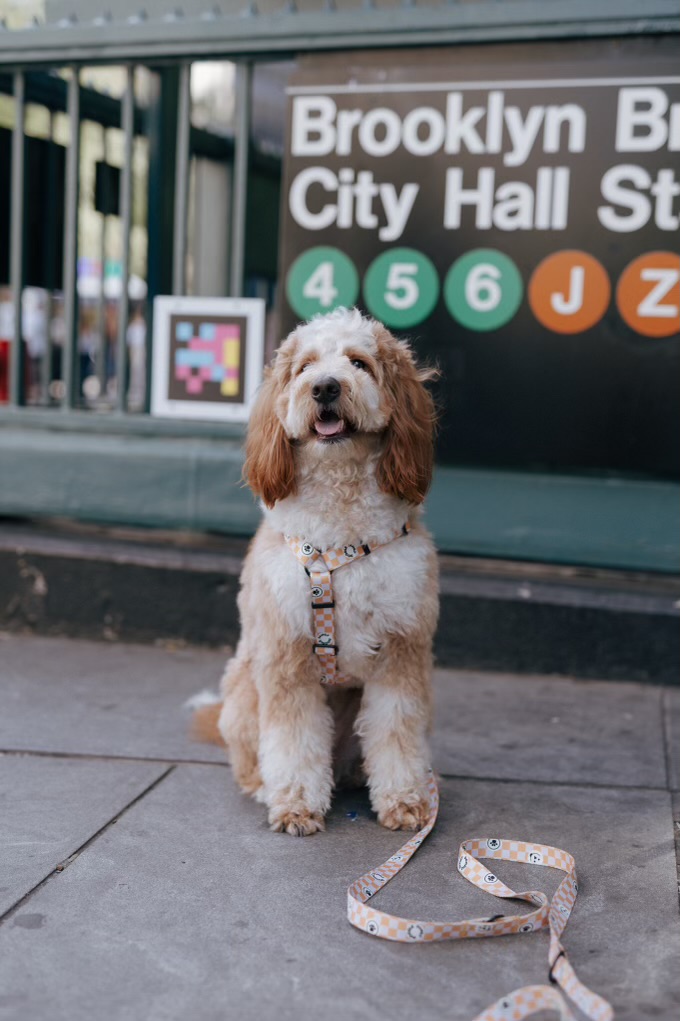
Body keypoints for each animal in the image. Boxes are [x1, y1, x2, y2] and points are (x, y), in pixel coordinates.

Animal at [195, 308, 439, 837]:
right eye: (304, 366)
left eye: (359, 362)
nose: (326, 386)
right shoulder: (286, 654)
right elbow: (293, 741)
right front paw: (295, 804)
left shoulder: (402, 646)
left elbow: (396, 731)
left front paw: (405, 799)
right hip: (244, 692)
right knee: (249, 760)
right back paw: (264, 786)